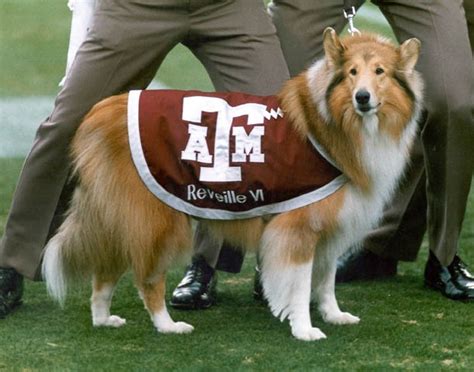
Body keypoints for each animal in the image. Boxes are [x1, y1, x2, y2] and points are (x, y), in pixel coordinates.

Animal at [42, 30, 424, 342]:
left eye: (380, 72)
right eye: (352, 73)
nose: (362, 97)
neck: (330, 122)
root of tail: (100, 113)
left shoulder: (330, 229)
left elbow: (326, 280)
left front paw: (334, 315)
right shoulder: (299, 228)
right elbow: (300, 286)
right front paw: (304, 329)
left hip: (123, 217)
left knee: (104, 272)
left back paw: (103, 319)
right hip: (158, 221)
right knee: (147, 279)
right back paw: (168, 326)